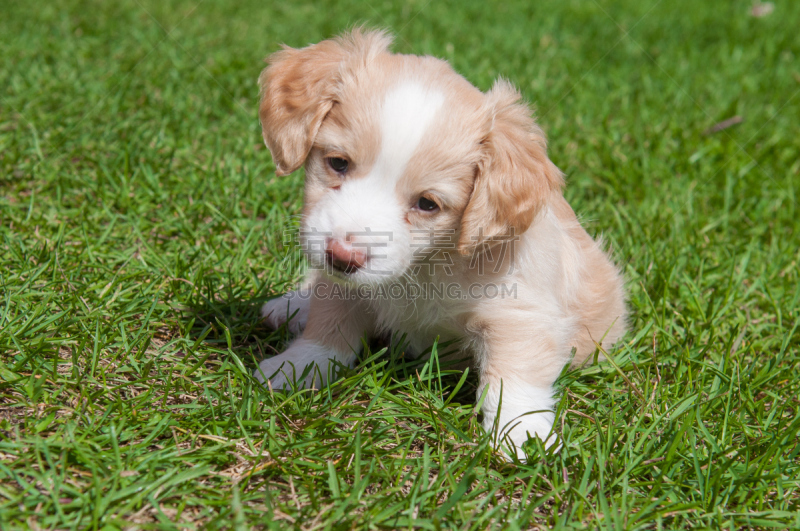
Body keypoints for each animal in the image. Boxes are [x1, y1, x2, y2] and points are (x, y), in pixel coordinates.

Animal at [253, 30, 628, 462]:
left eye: (428, 204)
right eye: (338, 163)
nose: (342, 258)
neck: (425, 265)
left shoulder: (522, 313)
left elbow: (514, 379)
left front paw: (522, 434)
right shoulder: (341, 285)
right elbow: (329, 326)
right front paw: (295, 367)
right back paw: (291, 306)